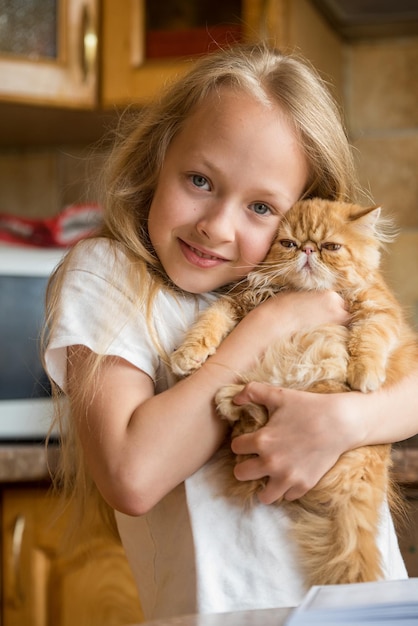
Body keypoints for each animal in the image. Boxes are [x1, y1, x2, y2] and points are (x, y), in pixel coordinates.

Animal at [170, 199, 418, 584]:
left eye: (330, 247)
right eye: (288, 244)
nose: (308, 250)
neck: (303, 293)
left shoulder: (378, 309)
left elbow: (368, 338)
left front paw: (365, 375)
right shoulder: (239, 301)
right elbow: (210, 321)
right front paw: (187, 355)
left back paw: (234, 398)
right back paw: (231, 398)